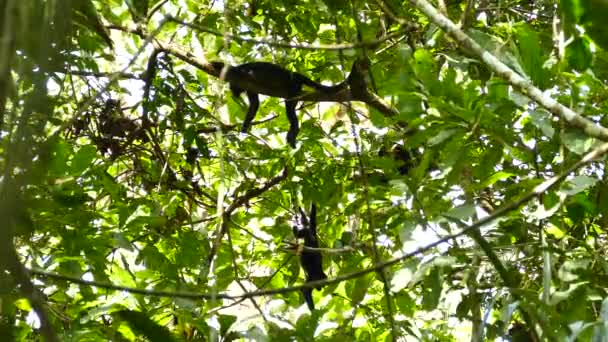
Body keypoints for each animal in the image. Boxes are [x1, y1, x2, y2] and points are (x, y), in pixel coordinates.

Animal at [211, 62, 340, 148]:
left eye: (233, 87)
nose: (233, 93)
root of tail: (295, 74)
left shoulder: (243, 74)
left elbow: (235, 69)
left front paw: (216, 64)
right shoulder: (250, 88)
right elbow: (254, 104)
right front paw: (245, 125)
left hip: (293, 86)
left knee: (289, 109)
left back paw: (294, 131)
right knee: (291, 108)